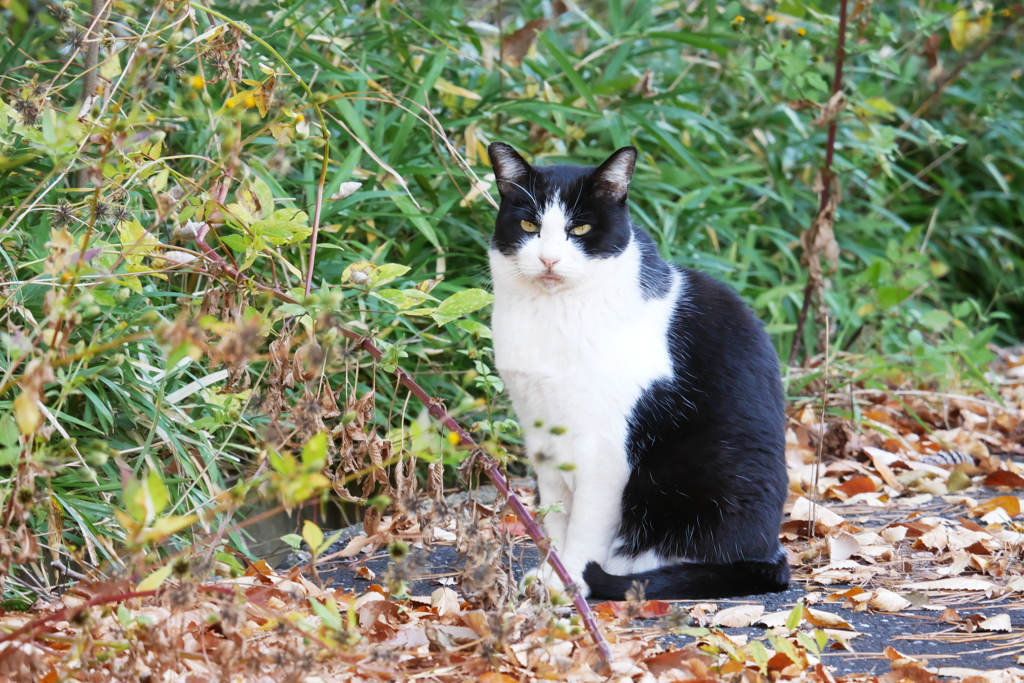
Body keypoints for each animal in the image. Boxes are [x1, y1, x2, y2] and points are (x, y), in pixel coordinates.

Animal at [487, 143, 790, 598]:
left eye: (580, 229)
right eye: (528, 225)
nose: (548, 259)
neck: (553, 316)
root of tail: (772, 554)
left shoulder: (604, 448)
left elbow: (585, 525)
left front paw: (569, 582)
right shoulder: (541, 433)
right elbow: (556, 518)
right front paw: (549, 576)